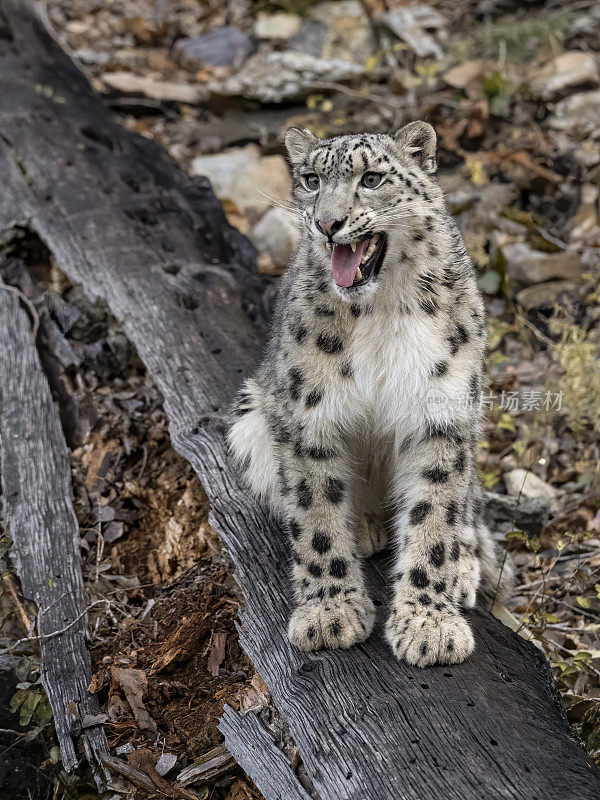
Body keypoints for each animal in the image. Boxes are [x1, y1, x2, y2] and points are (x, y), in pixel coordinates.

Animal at [227, 122, 512, 664]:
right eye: (312, 180)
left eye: (373, 178)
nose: (327, 223)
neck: (379, 311)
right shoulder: (308, 415)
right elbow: (316, 516)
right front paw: (331, 613)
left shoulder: (441, 414)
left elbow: (434, 518)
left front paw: (429, 624)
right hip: (250, 415)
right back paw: (361, 528)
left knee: (466, 507)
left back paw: (462, 566)